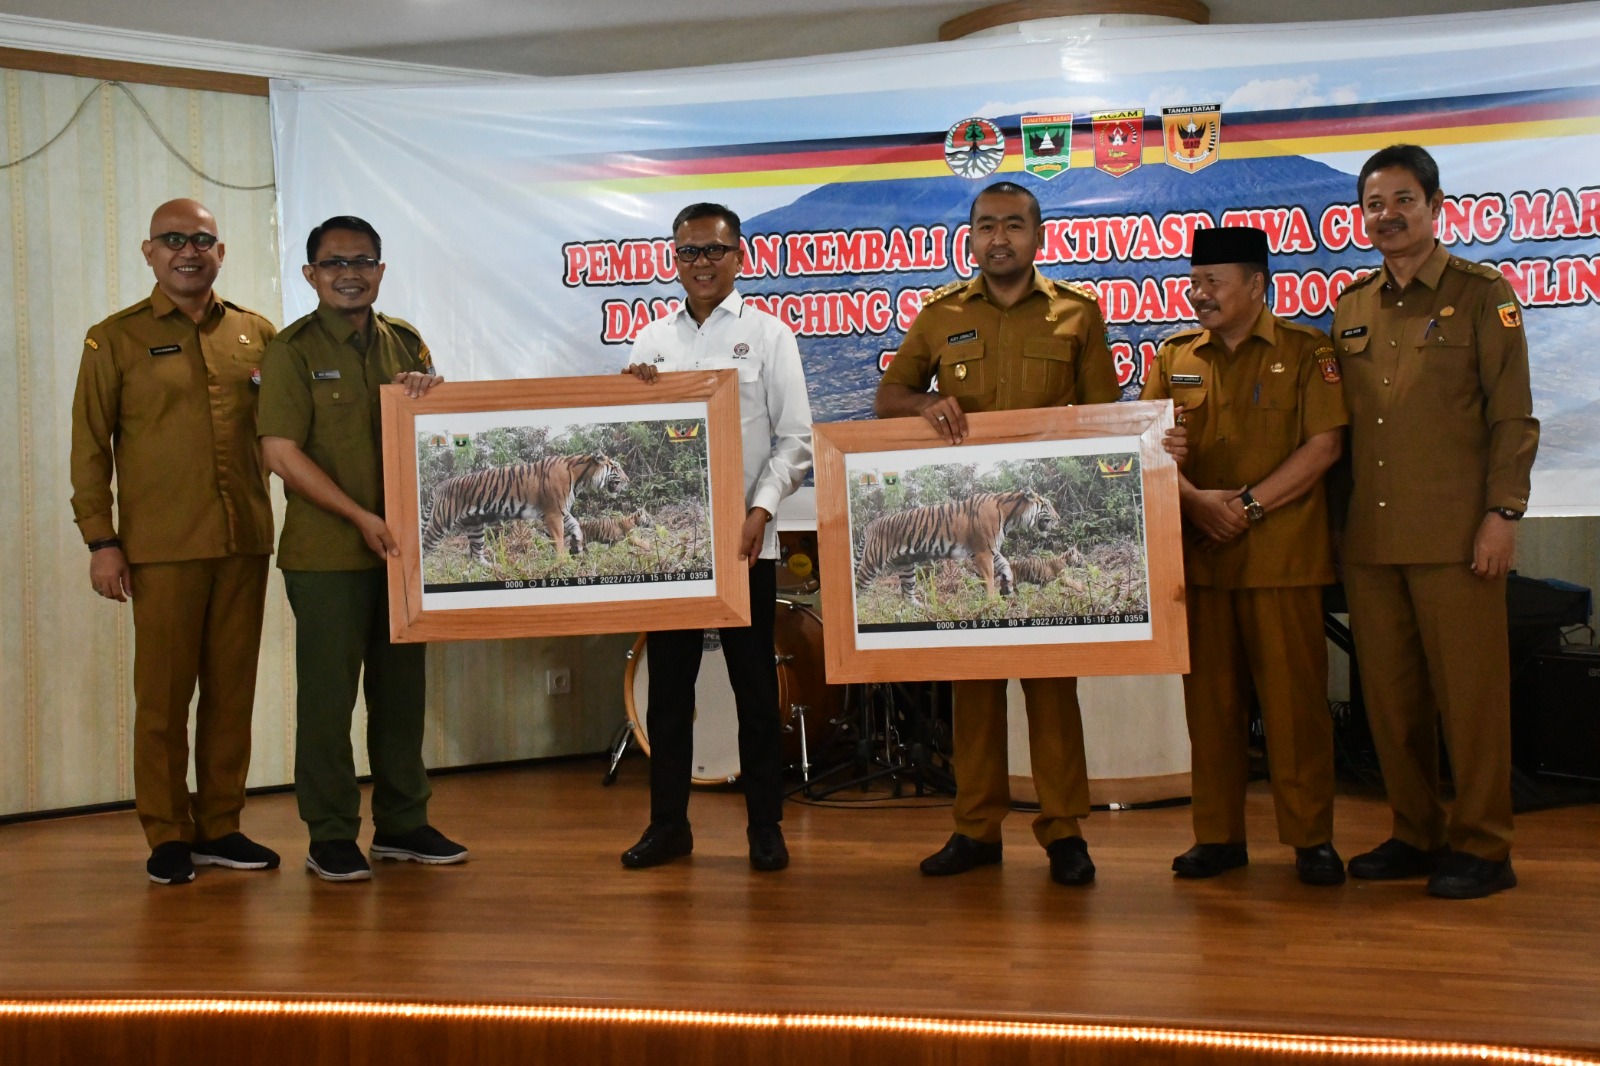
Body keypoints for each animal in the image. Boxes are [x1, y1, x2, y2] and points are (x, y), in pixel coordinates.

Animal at [422, 451, 627, 560]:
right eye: (616, 467)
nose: (628, 480)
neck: (580, 478)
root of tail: (440, 484)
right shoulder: (553, 513)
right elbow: (559, 539)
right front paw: (562, 561)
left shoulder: (561, 511)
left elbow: (576, 526)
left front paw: (576, 547)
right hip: (441, 522)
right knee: (425, 546)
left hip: (475, 526)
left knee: (475, 556)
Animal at [851, 486, 1062, 601]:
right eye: (1048, 505)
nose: (1059, 518)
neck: (1011, 516)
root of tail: (870, 524)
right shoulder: (983, 552)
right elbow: (988, 578)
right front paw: (993, 600)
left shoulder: (991, 550)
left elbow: (1006, 565)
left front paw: (1007, 585)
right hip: (872, 562)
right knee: (859, 587)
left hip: (906, 566)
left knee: (908, 594)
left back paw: (921, 610)